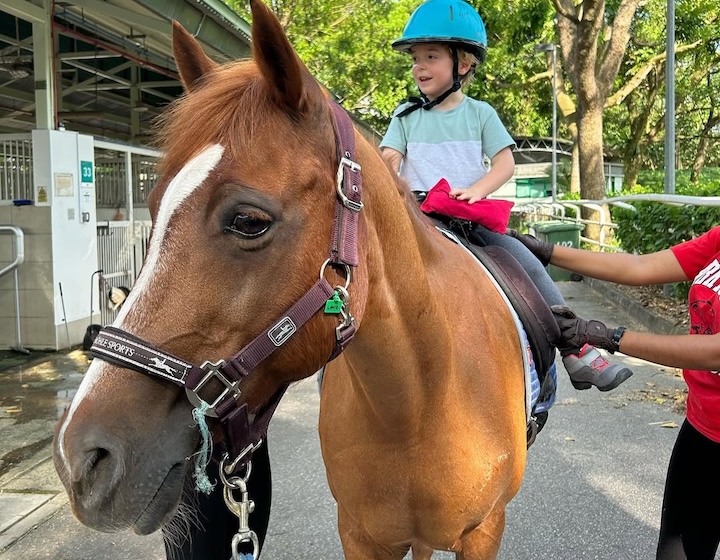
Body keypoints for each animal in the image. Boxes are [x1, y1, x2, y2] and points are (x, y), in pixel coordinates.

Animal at [53, 2, 528, 556]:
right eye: (152, 206)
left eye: (248, 221)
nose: (80, 460)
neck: (420, 405)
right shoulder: (362, 534)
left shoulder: (485, 532)